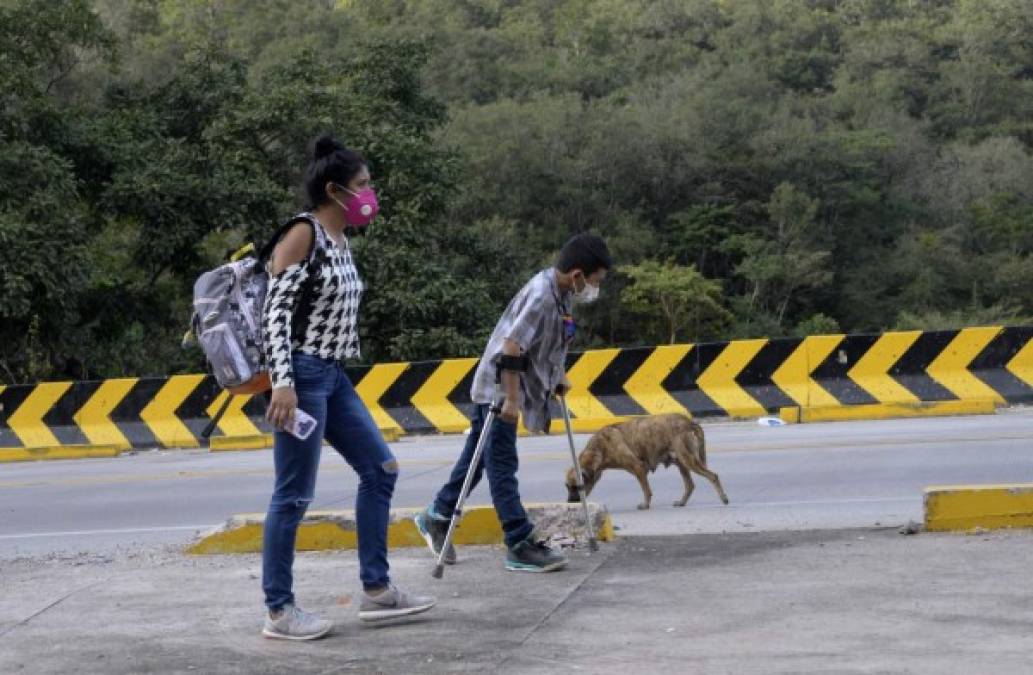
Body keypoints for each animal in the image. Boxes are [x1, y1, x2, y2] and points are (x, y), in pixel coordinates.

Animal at [570, 411, 731, 510]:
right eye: (567, 486)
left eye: (576, 487)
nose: (570, 502)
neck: (599, 448)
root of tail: (690, 422)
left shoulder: (639, 468)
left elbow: (646, 490)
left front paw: (646, 505)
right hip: (682, 462)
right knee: (690, 485)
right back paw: (682, 502)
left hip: (689, 460)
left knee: (713, 476)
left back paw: (723, 498)